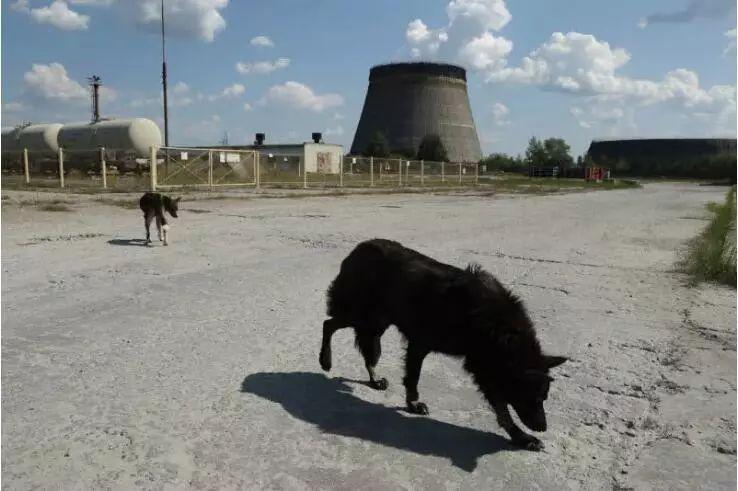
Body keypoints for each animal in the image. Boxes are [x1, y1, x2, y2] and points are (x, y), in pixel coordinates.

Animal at [320, 240, 568, 452]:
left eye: (544, 398)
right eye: (534, 398)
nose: (543, 427)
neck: (497, 329)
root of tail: (358, 249)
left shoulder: (484, 367)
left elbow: (501, 409)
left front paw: (520, 437)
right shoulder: (420, 344)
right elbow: (413, 378)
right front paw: (413, 404)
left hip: (376, 322)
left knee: (365, 348)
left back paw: (373, 378)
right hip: (363, 315)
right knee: (329, 324)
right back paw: (325, 360)